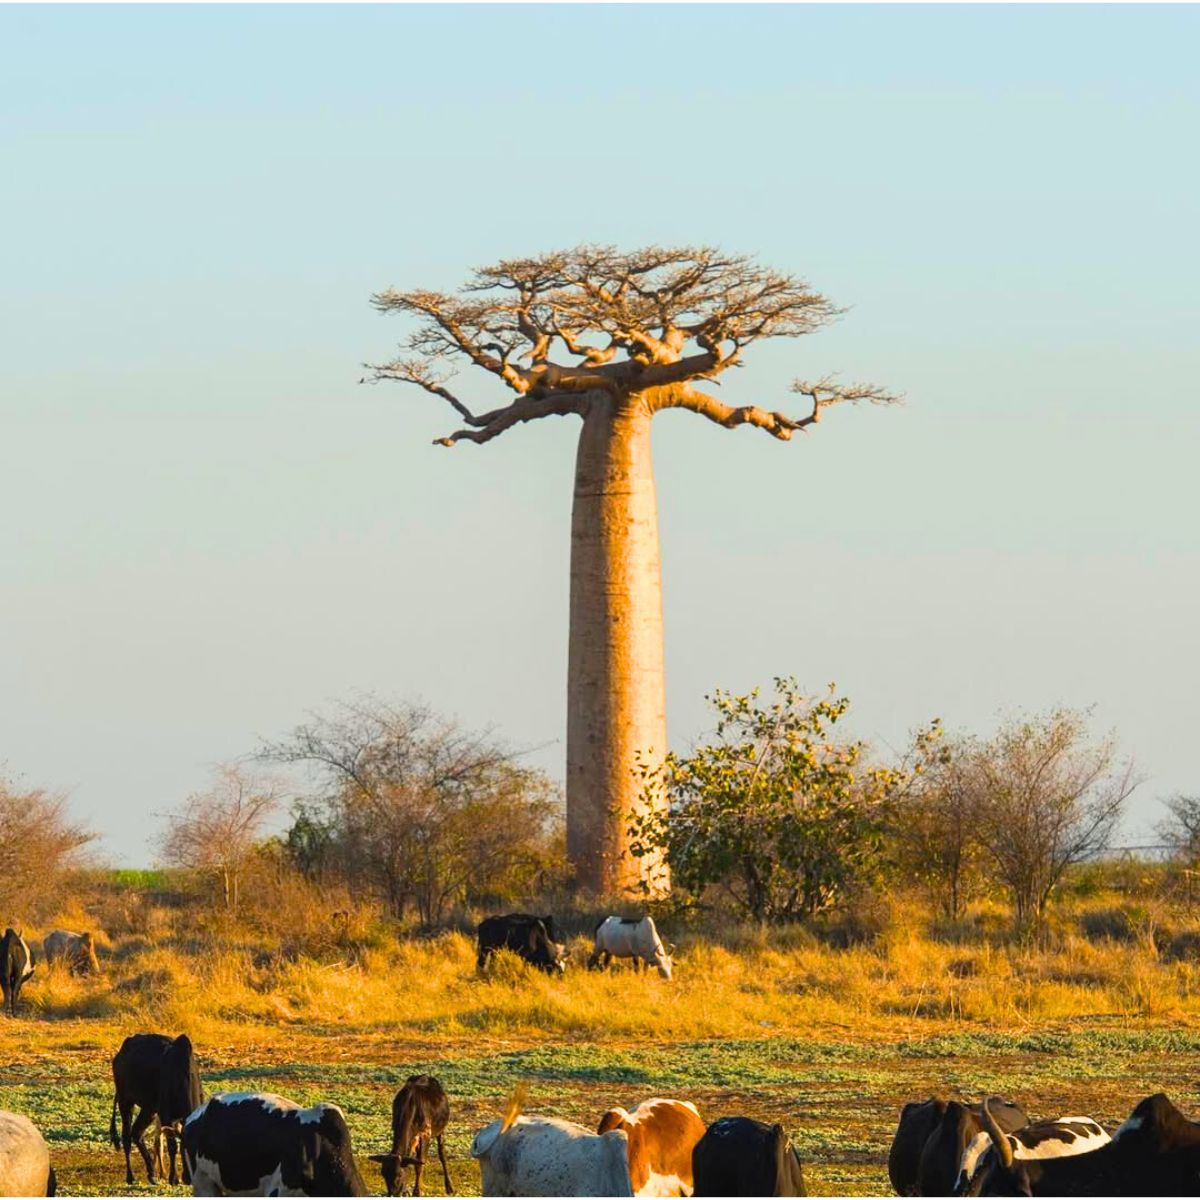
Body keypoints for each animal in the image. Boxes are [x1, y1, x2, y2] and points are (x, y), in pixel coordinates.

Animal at [110, 1032, 204, 1190]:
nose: (190, 1178)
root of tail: (122, 1051)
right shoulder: (166, 1115)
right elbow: (172, 1147)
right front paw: (174, 1178)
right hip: (125, 1101)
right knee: (126, 1137)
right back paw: (130, 1177)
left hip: (149, 1109)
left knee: (137, 1133)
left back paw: (152, 1174)